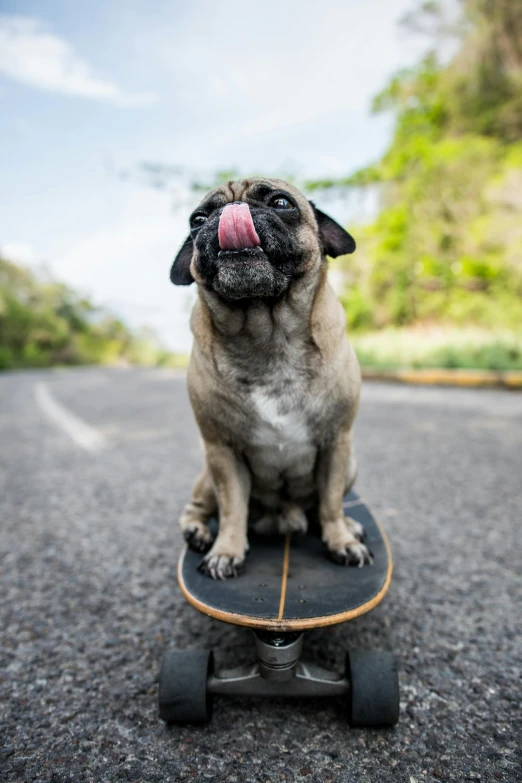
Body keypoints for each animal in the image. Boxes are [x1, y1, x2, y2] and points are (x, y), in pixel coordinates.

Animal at [169, 179, 368, 580]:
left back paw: (347, 527)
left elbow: (331, 502)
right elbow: (232, 507)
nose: (230, 212)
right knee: (200, 506)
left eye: (281, 203)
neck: (268, 336)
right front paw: (226, 551)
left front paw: (340, 540)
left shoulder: (337, 444)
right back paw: (198, 531)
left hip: (351, 463)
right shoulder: (223, 451)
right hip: (208, 474)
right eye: (197, 220)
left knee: (323, 508)